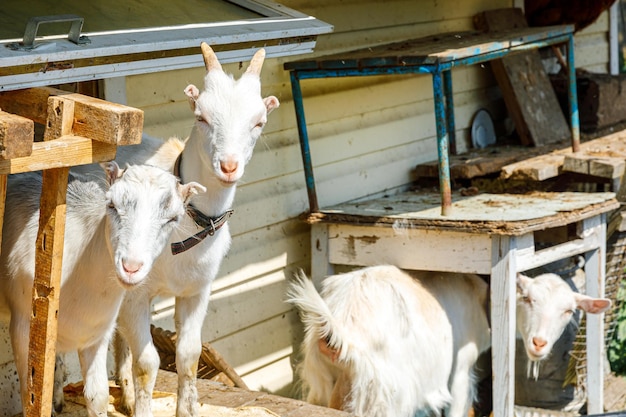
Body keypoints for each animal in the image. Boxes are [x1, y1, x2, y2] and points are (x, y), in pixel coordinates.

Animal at [0, 162, 204, 416]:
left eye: (173, 219)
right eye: (112, 205)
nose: (131, 267)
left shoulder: (96, 335)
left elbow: (98, 396)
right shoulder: (23, 327)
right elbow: (32, 396)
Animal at [70, 43, 278, 416]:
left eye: (259, 122)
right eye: (201, 116)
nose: (228, 166)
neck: (188, 228)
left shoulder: (197, 291)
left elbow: (189, 355)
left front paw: (187, 408)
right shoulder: (135, 293)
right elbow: (148, 363)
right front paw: (143, 406)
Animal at [288, 264, 608, 416]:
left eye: (568, 310)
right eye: (528, 299)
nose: (539, 344)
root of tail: (341, 321)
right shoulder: (461, 368)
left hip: (323, 380)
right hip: (383, 393)